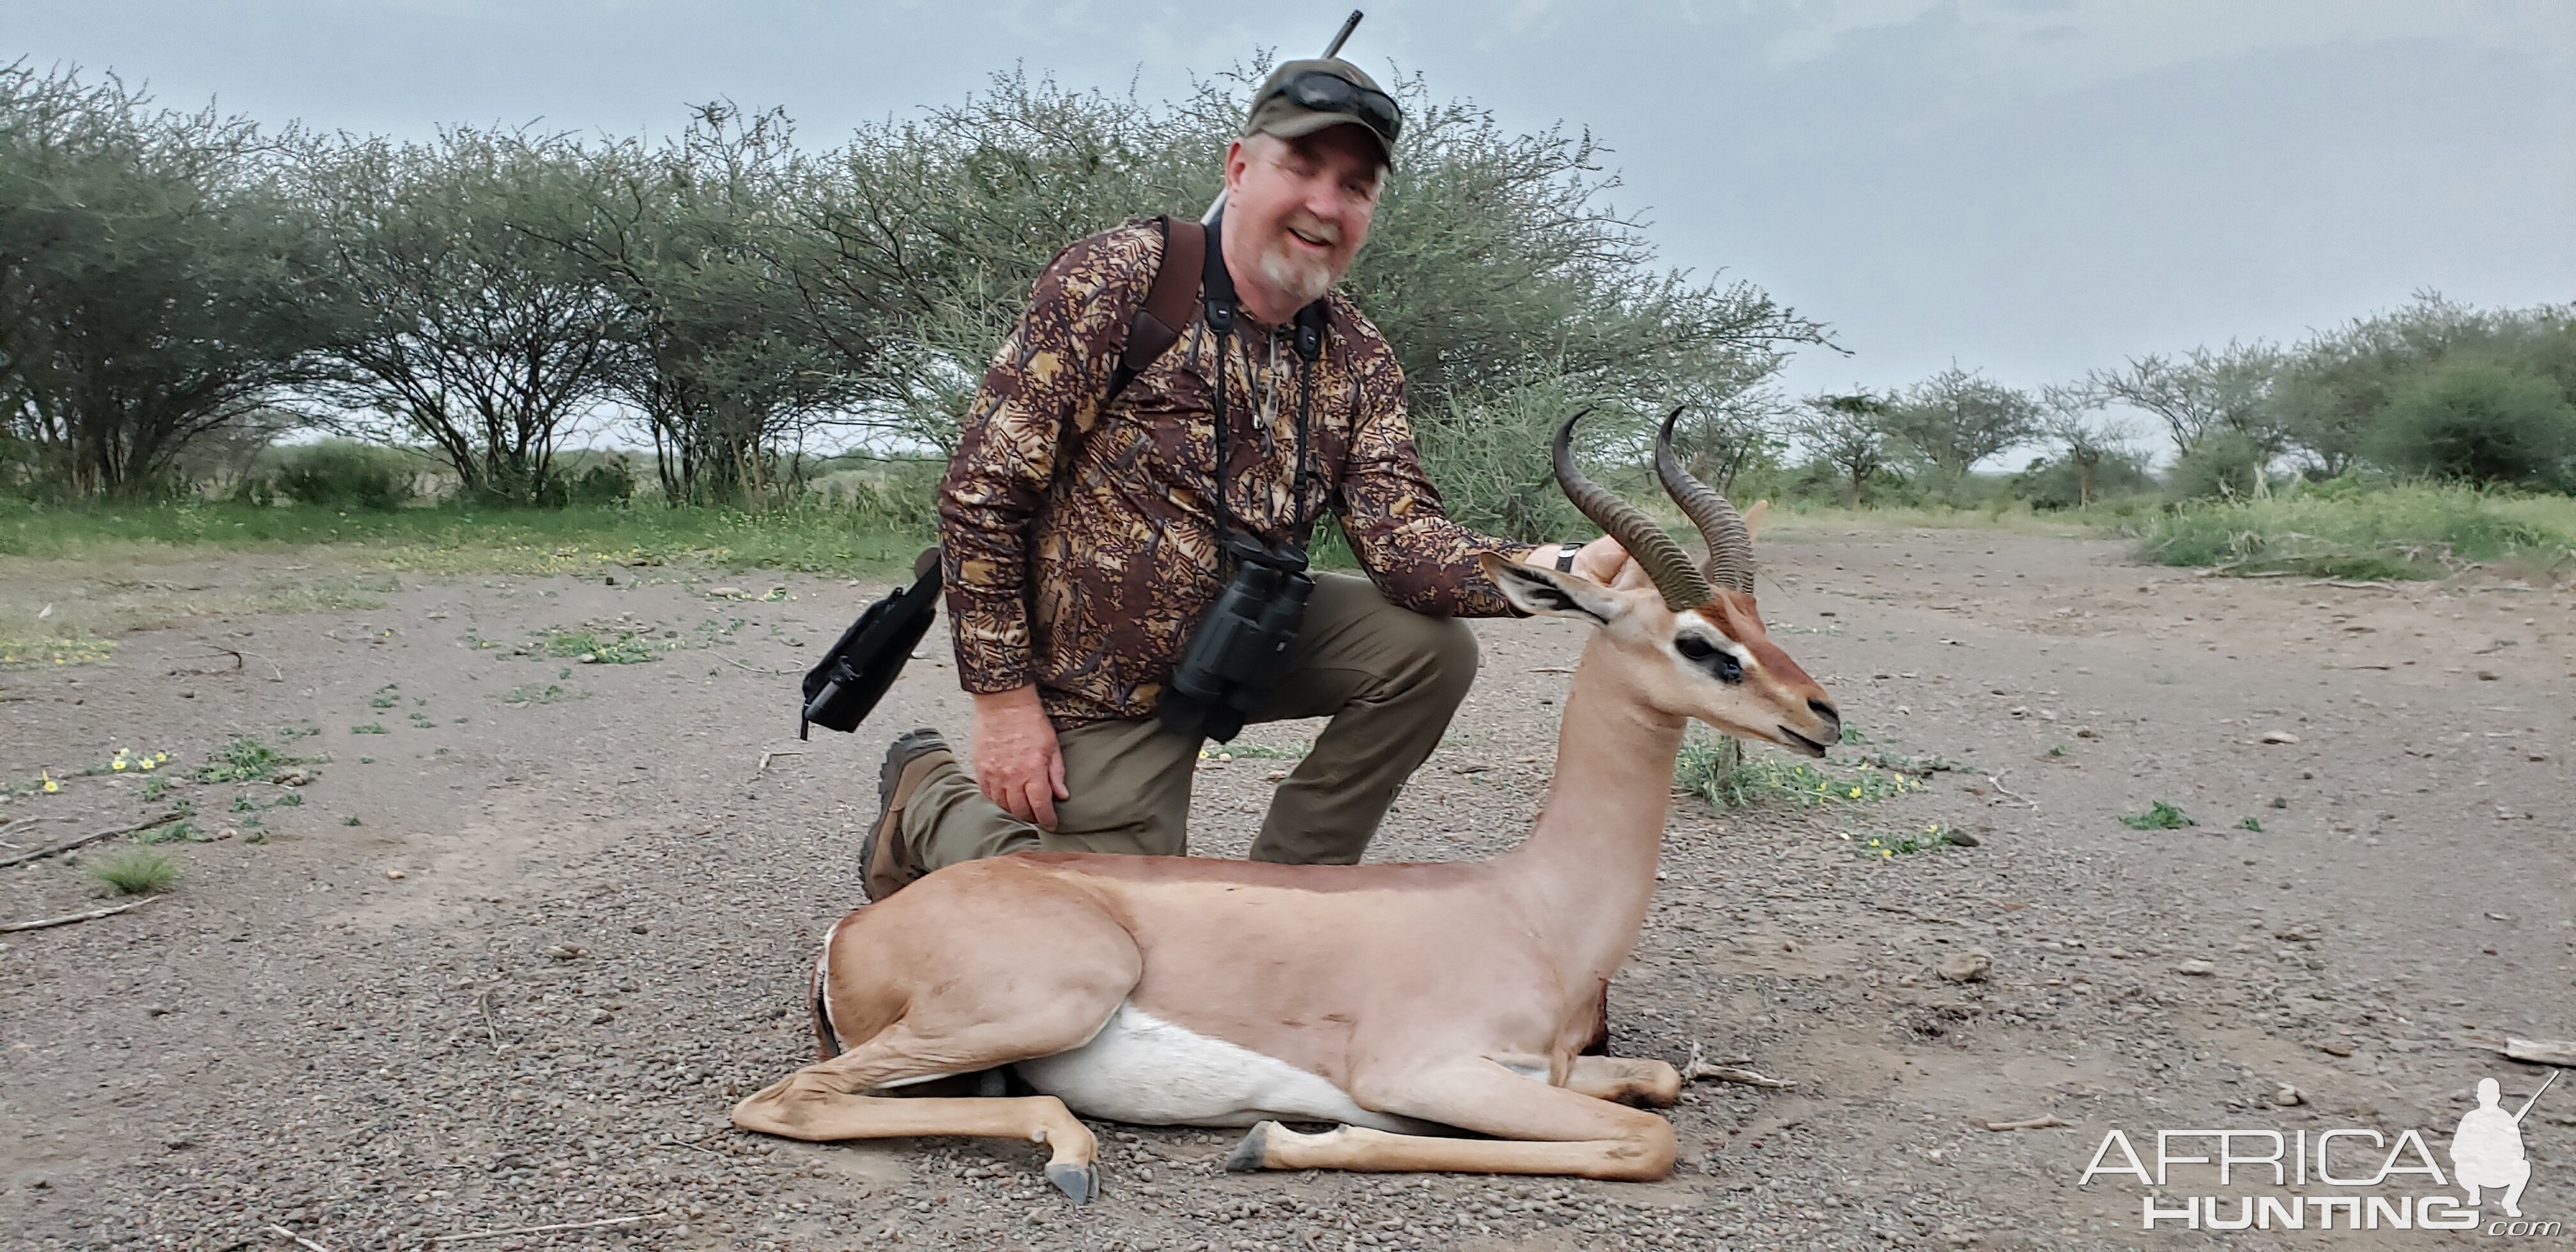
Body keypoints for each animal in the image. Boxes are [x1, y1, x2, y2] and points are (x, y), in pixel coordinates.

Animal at [737, 407, 1844, 1200]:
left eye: (1760, 620)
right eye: (1702, 643)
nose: (1822, 716)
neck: (1533, 913)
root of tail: (851, 936)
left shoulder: (1559, 1073)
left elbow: (1659, 1083)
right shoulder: (1427, 1072)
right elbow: (1647, 1139)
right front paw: (1273, 1140)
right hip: (1044, 1002)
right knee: (786, 1101)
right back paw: (1073, 1151)